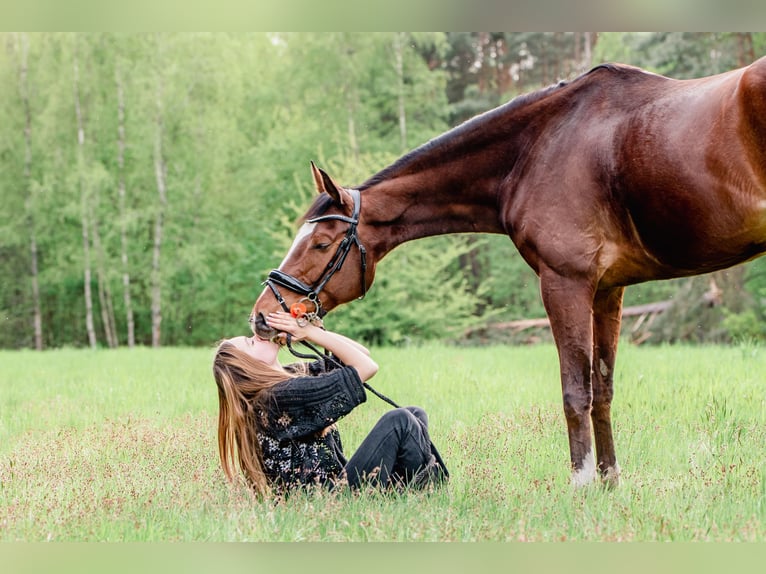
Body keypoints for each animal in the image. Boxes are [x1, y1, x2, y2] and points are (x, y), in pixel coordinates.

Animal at [251, 56, 766, 487]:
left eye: (321, 243)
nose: (261, 313)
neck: (539, 149)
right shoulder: (608, 290)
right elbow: (602, 389)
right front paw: (609, 483)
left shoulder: (565, 282)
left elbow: (575, 392)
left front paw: (581, 487)